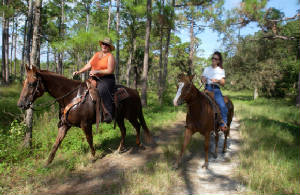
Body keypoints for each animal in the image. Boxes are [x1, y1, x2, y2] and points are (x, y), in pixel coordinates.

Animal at [17, 65, 152, 165]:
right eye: (24, 82)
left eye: (32, 83)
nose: (21, 104)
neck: (71, 96)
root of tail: (134, 91)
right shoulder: (65, 125)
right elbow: (56, 143)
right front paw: (48, 163)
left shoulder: (85, 124)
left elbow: (89, 139)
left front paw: (93, 157)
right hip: (120, 117)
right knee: (124, 130)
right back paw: (119, 149)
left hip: (131, 115)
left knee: (137, 126)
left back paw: (140, 144)